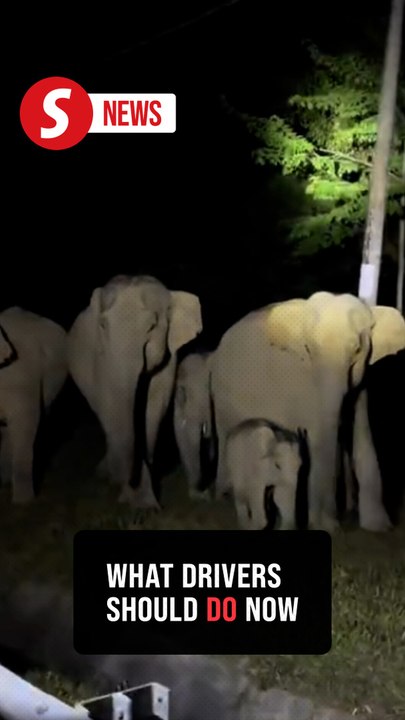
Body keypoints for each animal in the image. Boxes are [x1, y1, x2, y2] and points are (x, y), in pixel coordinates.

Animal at [67, 274, 203, 509]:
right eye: (103, 325)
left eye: (152, 326)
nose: (129, 483)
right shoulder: (101, 357)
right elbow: (110, 405)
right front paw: (131, 498)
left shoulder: (168, 358)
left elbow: (153, 409)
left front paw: (146, 506)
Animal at [210, 291, 392, 533]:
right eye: (308, 349)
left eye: (356, 350)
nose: (335, 523)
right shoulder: (301, 386)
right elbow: (316, 440)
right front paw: (324, 525)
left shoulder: (362, 384)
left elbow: (363, 436)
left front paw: (379, 526)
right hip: (222, 392)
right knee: (226, 436)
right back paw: (223, 498)